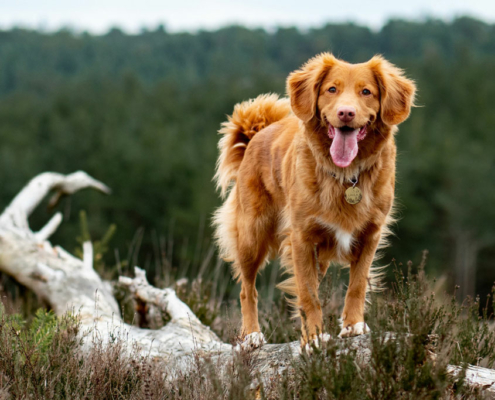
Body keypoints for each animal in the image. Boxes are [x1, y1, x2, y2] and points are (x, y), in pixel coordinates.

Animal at [213, 54, 414, 350]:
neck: (345, 175)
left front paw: (353, 325)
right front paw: (314, 338)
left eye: (366, 92)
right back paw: (252, 335)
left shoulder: (370, 234)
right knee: (246, 289)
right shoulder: (302, 238)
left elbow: (357, 284)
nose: (346, 113)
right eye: (331, 89)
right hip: (252, 234)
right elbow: (308, 294)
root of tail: (258, 133)